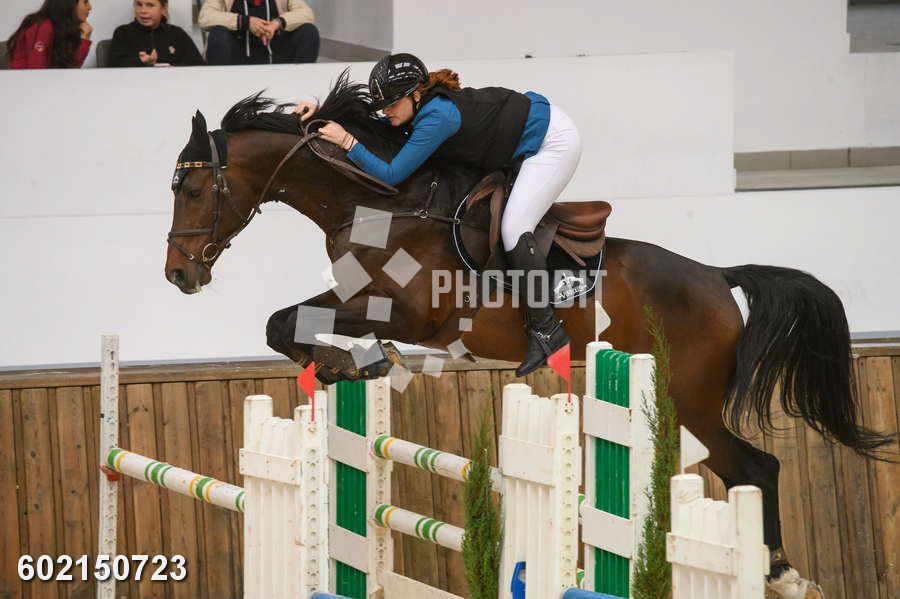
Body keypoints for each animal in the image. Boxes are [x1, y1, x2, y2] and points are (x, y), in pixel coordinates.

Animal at [164, 73, 892, 599]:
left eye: (194, 190)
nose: (178, 274)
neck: (380, 201)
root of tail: (717, 278)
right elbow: (282, 322)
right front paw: (351, 367)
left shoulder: (407, 313)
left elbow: (292, 322)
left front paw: (356, 364)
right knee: (748, 467)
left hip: (688, 399)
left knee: (757, 468)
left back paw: (784, 573)